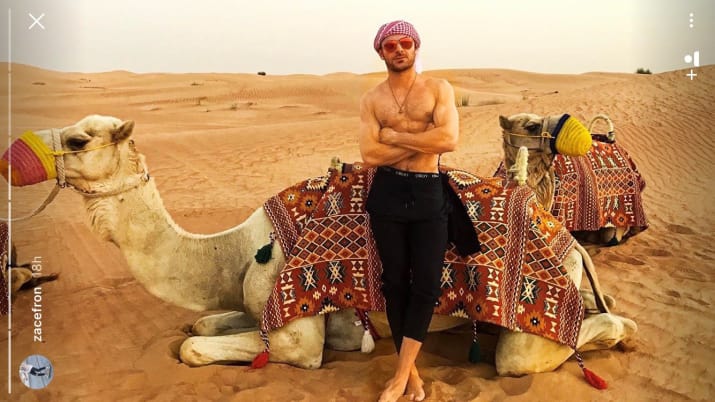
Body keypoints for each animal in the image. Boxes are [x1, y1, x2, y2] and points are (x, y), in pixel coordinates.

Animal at [1, 114, 636, 376]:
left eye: (78, 140)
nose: (13, 155)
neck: (233, 250)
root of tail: (567, 242)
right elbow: (201, 324)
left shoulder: (296, 335)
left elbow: (194, 346)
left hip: (533, 324)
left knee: (557, 344)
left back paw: (620, 338)